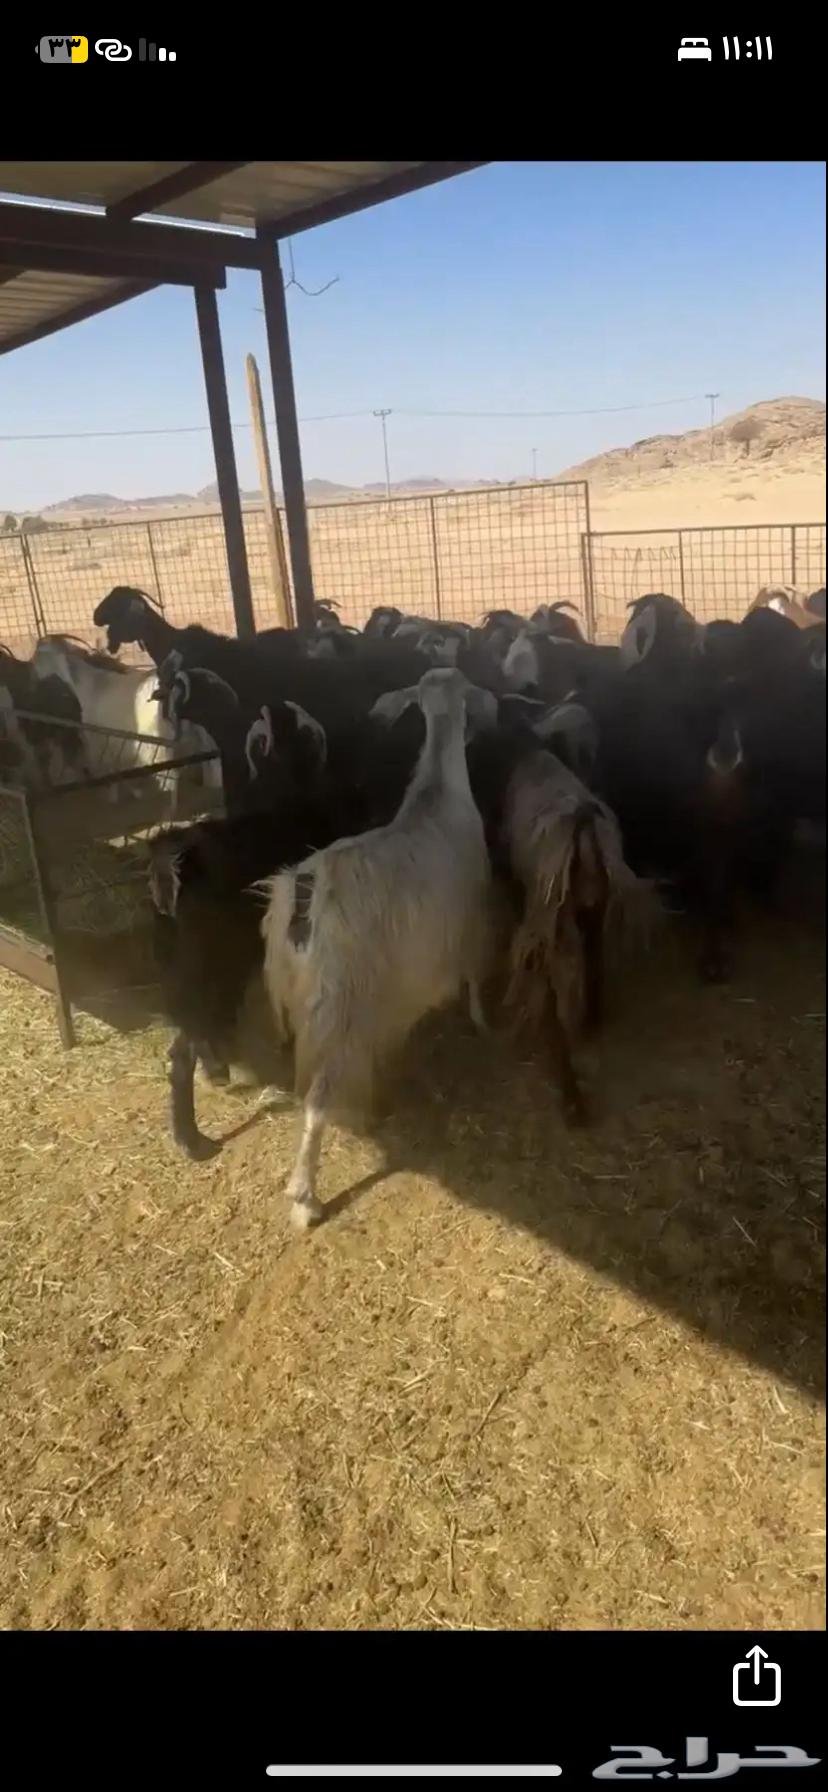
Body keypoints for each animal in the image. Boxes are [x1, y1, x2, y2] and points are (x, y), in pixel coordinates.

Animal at [259, 668, 497, 1229]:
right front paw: (483, 1022)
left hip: (295, 995)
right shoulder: (472, 921)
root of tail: (303, 897)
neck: (437, 792)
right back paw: (305, 1197)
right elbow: (477, 979)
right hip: (340, 1003)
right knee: (318, 1098)